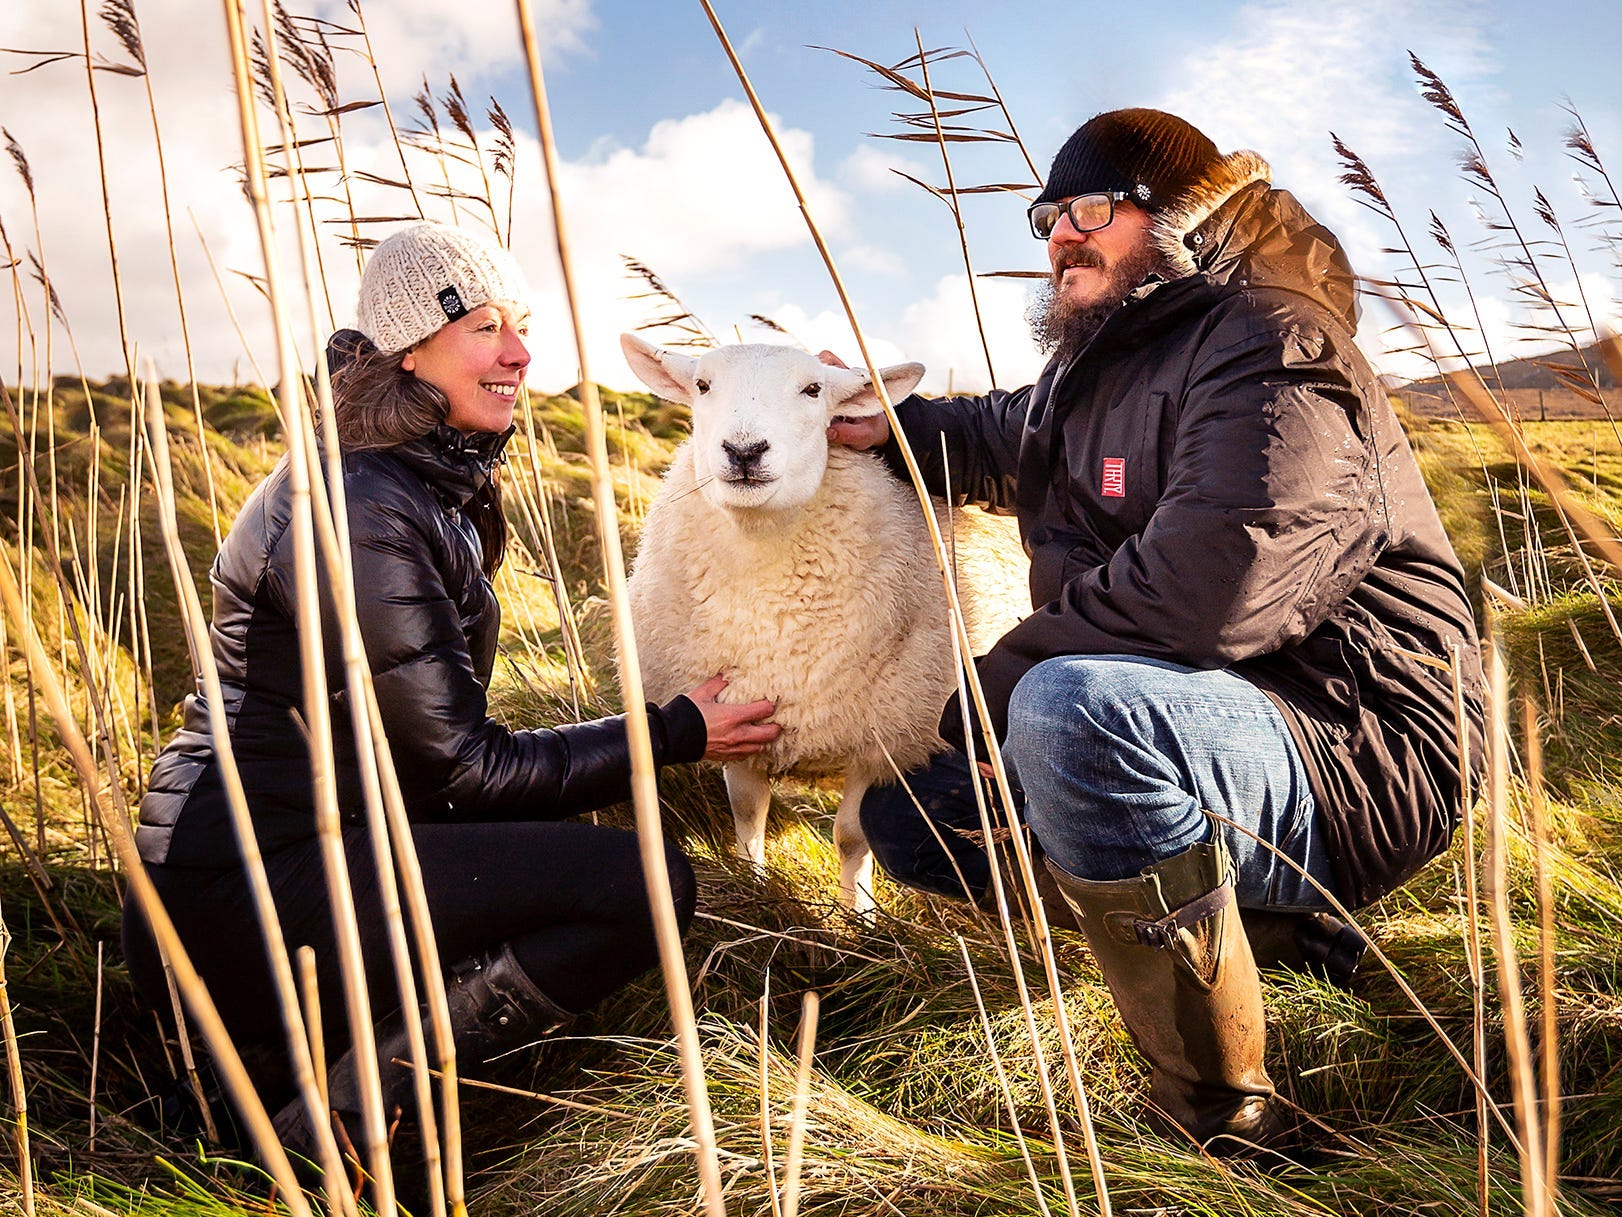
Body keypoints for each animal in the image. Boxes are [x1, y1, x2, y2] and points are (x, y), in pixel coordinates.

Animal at [622, 334, 1025, 915]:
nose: (744, 451)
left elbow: (851, 838)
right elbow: (747, 812)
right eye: (702, 384)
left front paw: (861, 915)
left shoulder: (883, 745)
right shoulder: (738, 716)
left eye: (814, 388)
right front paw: (755, 886)